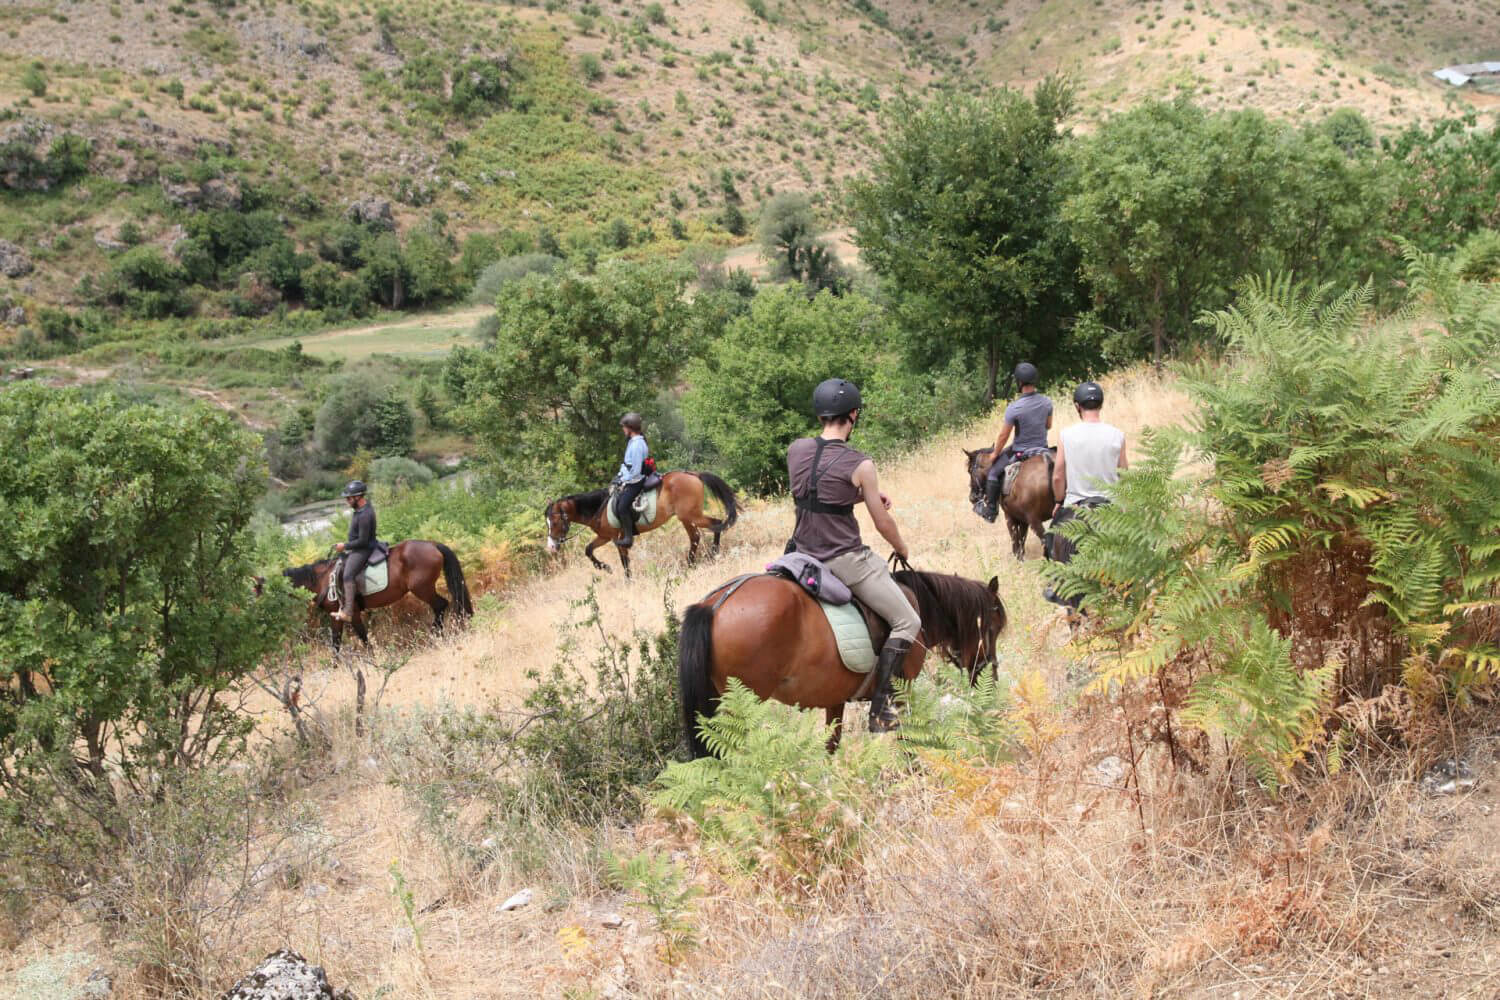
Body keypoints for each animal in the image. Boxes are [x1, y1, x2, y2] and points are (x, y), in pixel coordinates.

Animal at [282, 539, 468, 650]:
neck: (323, 580)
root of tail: (433, 544)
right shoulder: (336, 617)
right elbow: (336, 643)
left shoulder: (352, 613)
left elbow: (363, 637)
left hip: (423, 589)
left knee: (440, 605)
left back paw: (434, 635)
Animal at [549, 470, 741, 578]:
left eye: (555, 521)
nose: (551, 546)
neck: (599, 508)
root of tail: (694, 475)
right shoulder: (605, 536)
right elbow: (588, 550)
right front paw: (605, 568)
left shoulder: (617, 538)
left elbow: (624, 562)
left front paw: (628, 581)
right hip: (687, 518)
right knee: (697, 536)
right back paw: (693, 563)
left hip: (690, 516)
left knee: (715, 524)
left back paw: (711, 555)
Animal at [681, 566, 1008, 755]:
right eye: (993, 628)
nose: (991, 675)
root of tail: (714, 604)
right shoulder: (902, 693)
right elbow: (907, 738)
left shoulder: (835, 699)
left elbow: (831, 744)